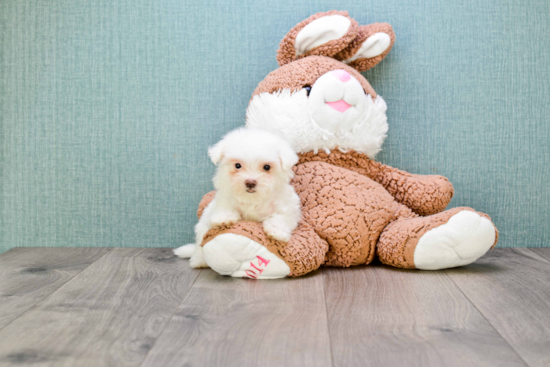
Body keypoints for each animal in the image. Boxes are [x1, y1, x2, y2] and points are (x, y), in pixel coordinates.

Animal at [175, 128, 302, 268]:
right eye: (237, 165)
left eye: (267, 167)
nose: (250, 182)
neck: (252, 199)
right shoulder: (223, 200)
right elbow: (225, 208)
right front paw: (223, 219)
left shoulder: (288, 207)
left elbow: (281, 218)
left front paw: (276, 232)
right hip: (201, 230)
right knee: (199, 246)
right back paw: (199, 261)